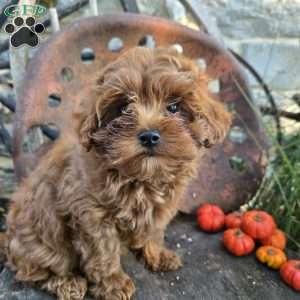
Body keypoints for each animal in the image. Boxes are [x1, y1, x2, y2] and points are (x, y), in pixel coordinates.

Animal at [2, 48, 231, 298]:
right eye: (123, 108)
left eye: (173, 107)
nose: (149, 136)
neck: (140, 177)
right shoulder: (91, 213)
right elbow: (103, 250)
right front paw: (113, 283)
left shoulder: (160, 208)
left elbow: (153, 231)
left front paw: (157, 255)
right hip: (43, 246)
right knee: (34, 271)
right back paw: (68, 282)